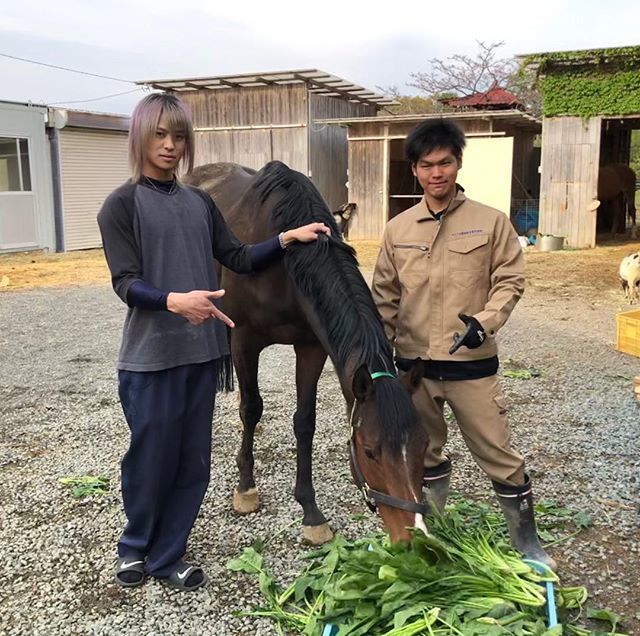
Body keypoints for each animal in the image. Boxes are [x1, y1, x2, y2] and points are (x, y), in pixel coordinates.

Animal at [184, 161, 430, 544]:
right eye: (370, 451)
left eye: (423, 445)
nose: (412, 536)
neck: (284, 266)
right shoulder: (244, 340)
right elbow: (251, 407)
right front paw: (245, 488)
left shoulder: (312, 347)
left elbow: (304, 422)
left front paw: (310, 511)